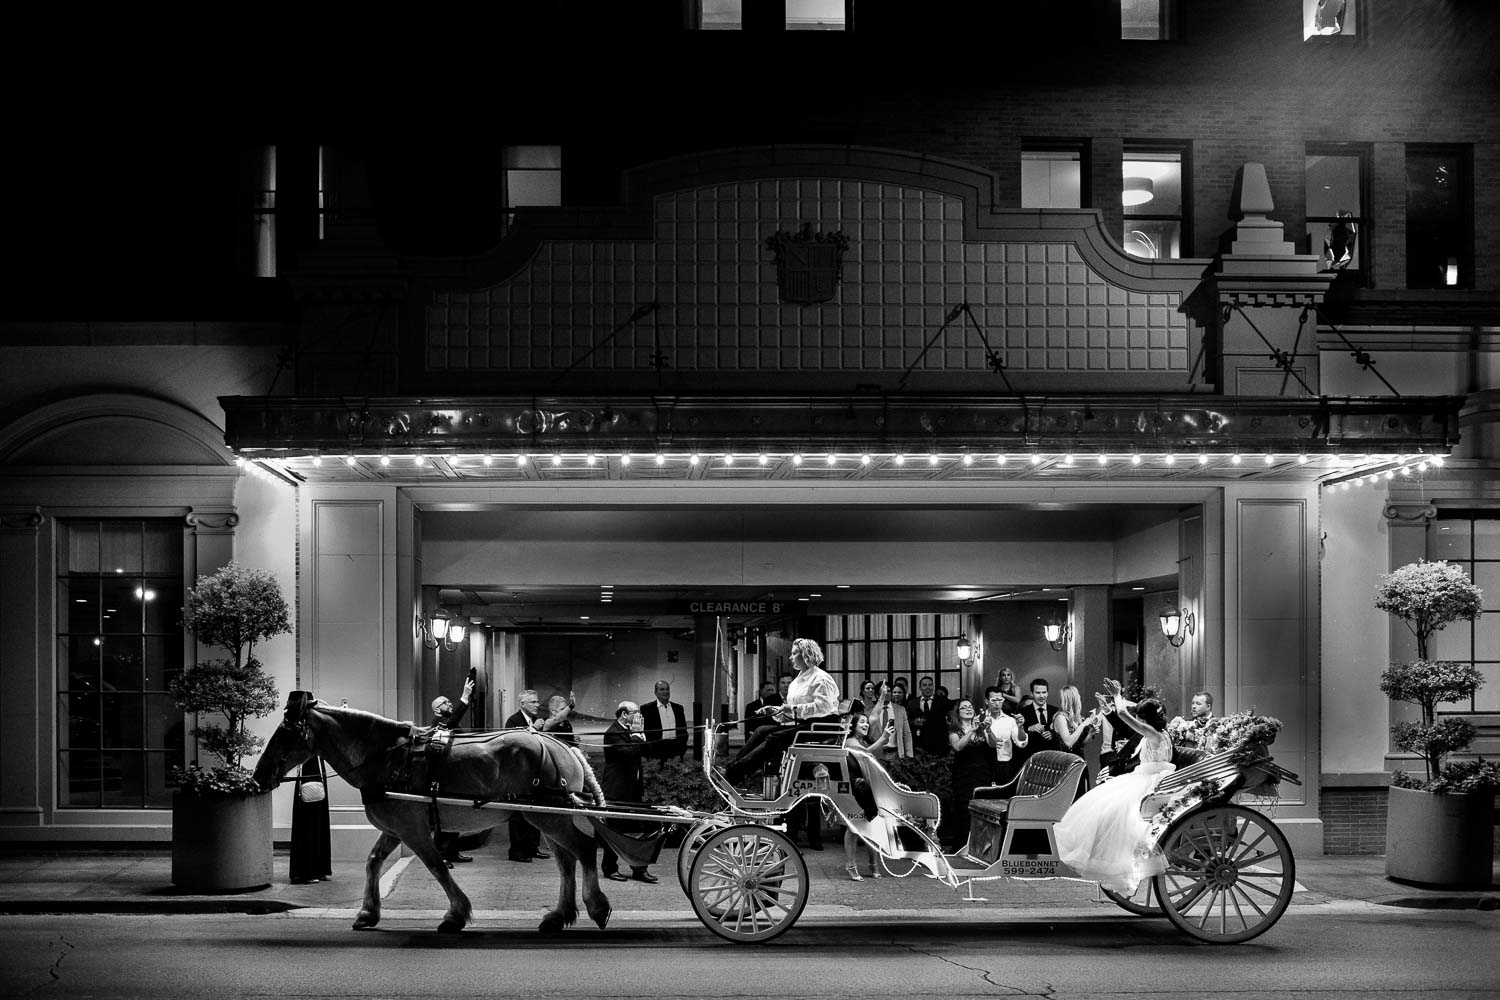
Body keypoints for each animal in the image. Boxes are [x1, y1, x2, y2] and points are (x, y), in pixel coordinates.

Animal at [252, 692, 615, 935]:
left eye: (286, 732)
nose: (258, 775)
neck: (390, 758)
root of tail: (562, 745)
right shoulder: (397, 827)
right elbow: (374, 861)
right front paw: (368, 912)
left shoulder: (412, 829)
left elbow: (436, 865)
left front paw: (456, 915)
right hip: (545, 816)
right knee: (567, 861)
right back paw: (559, 915)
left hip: (548, 817)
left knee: (583, 851)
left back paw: (596, 906)